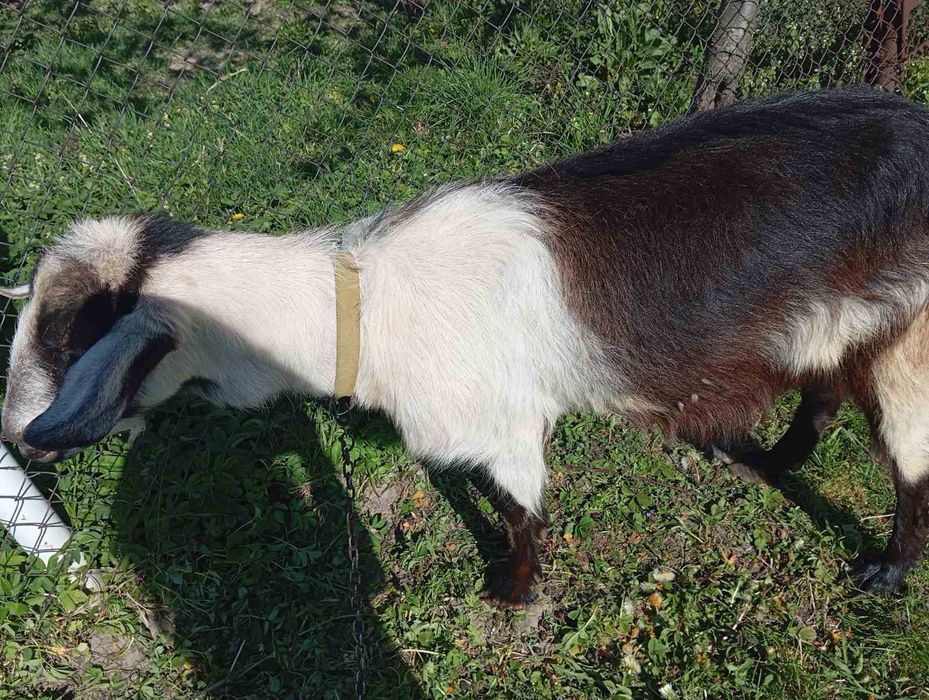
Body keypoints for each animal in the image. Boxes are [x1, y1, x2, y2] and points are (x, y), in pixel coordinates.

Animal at [3, 86, 929, 603]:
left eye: (66, 336)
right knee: (821, 386)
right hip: (833, 323)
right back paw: (770, 461)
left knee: (907, 459)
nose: (19, 438)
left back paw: (884, 573)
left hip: (910, 341)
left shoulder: (502, 427)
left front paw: (512, 595)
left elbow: (521, 513)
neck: (364, 308)